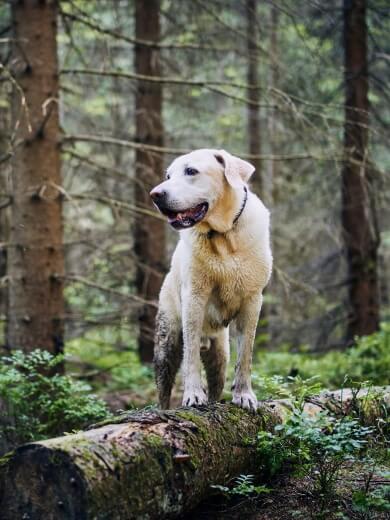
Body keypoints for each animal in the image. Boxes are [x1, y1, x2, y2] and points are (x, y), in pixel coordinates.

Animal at [149, 147, 272, 410]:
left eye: (191, 171)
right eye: (168, 176)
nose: (155, 194)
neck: (224, 236)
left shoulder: (252, 301)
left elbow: (246, 354)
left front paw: (244, 395)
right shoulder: (194, 298)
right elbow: (191, 354)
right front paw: (193, 394)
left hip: (220, 354)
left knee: (218, 380)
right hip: (167, 342)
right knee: (164, 389)